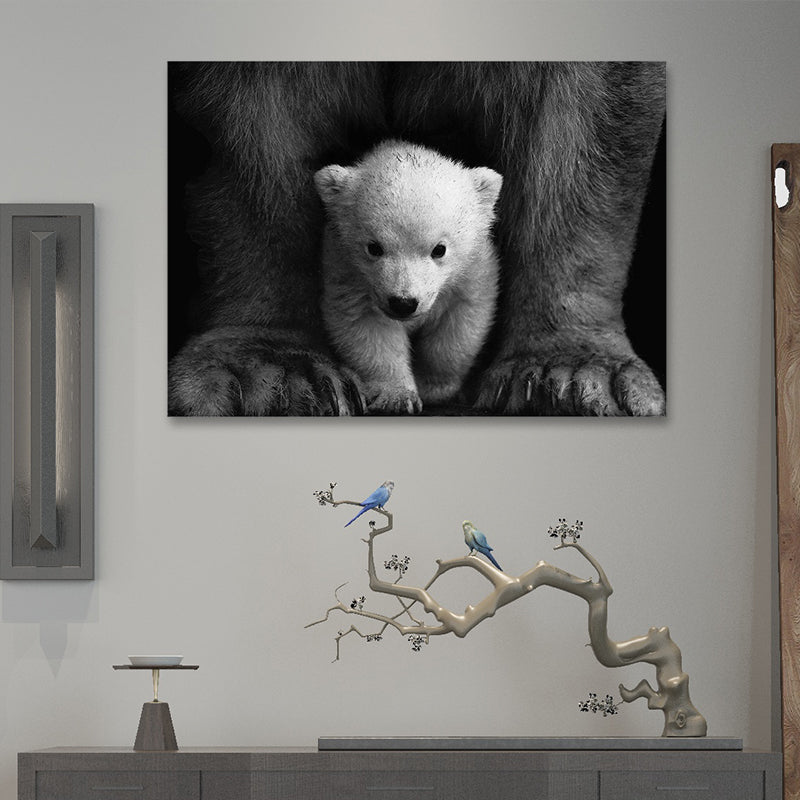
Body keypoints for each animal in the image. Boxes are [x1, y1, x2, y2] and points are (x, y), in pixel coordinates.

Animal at [314, 140, 503, 415]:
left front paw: (434, 387)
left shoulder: (473, 272)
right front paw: (397, 396)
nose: (403, 303)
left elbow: (459, 326)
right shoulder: (347, 273)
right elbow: (368, 328)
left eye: (439, 249)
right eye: (374, 247)